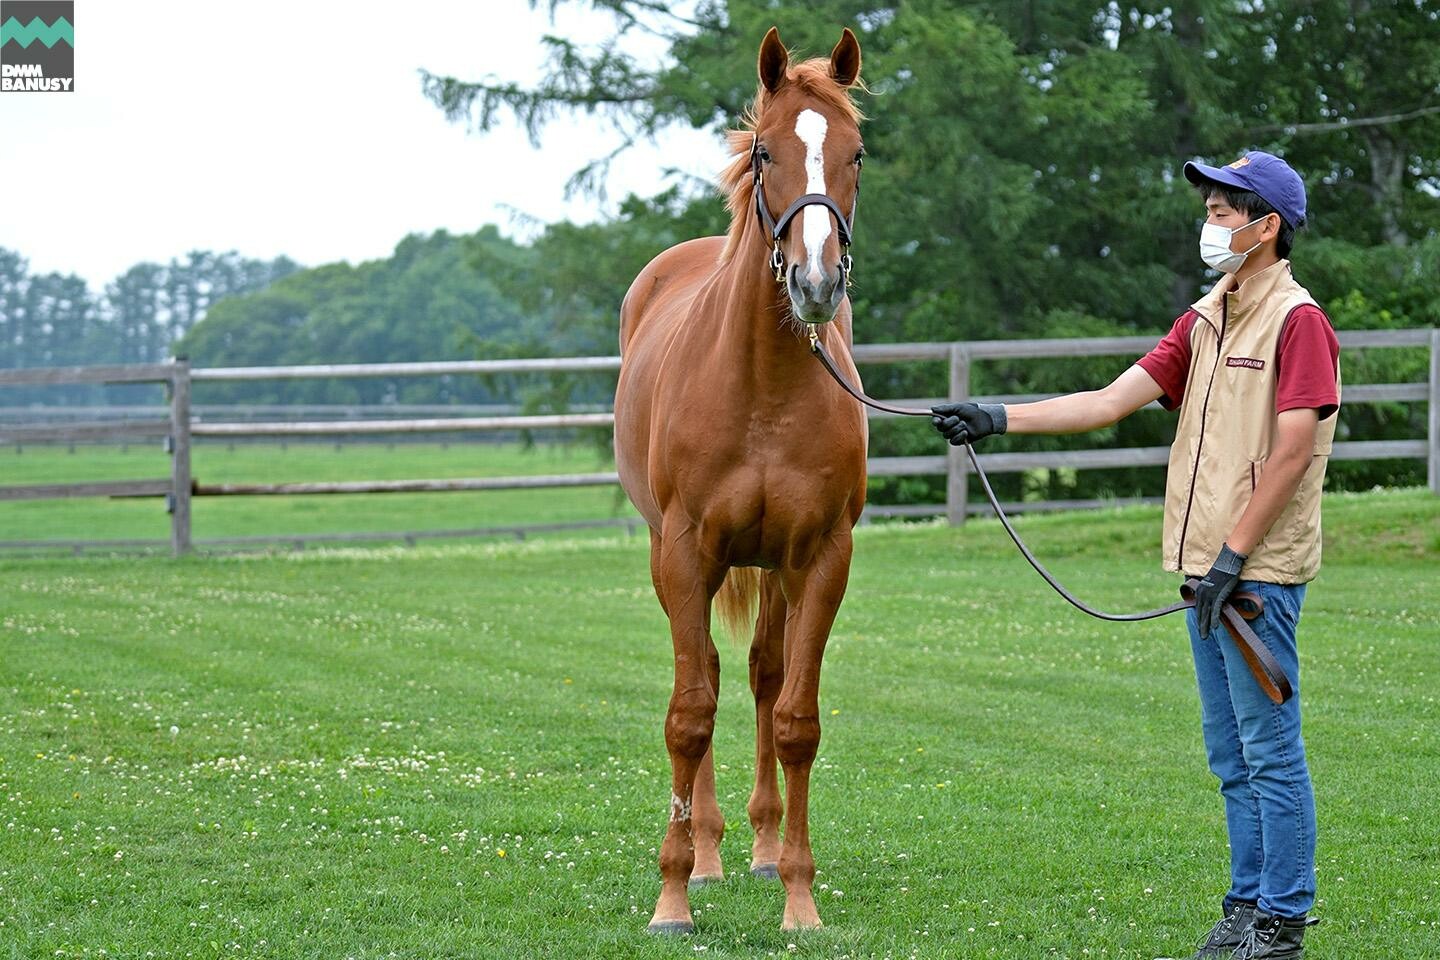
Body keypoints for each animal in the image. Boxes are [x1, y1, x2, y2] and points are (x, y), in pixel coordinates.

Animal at [610, 28, 864, 932]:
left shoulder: (820, 557)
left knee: (759, 674)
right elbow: (688, 716)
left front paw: (800, 897)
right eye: (764, 152)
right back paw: (711, 856)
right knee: (712, 681)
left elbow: (795, 720)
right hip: (676, 558)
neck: (761, 384)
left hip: (773, 569)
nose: (816, 282)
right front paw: (672, 895)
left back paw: (755, 850)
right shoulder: (687, 552)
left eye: (857, 153)